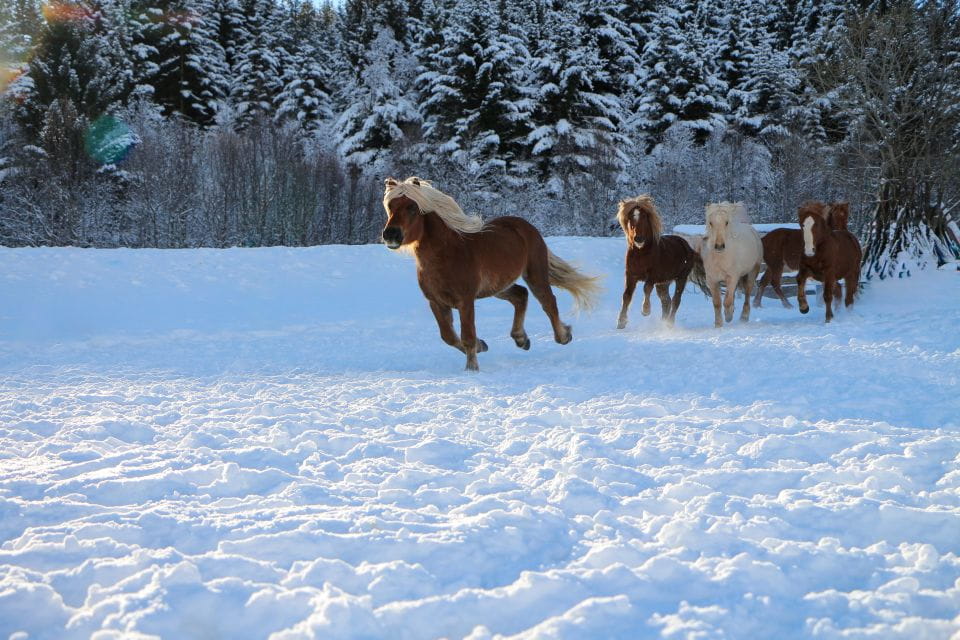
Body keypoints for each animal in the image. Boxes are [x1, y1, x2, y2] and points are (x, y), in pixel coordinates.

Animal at [381, 177, 600, 371]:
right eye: (390, 206)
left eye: (412, 207)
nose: (391, 234)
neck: (446, 254)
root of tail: (525, 226)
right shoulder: (436, 302)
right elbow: (448, 336)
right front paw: (482, 345)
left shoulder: (465, 300)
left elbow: (467, 335)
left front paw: (472, 368)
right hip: (498, 286)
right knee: (521, 295)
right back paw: (521, 339)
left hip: (535, 274)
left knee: (547, 301)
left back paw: (563, 336)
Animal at [615, 195, 698, 329]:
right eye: (630, 218)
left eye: (644, 217)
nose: (638, 238)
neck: (641, 253)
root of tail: (687, 246)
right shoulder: (630, 275)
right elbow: (626, 295)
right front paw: (621, 322)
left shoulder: (653, 276)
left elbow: (646, 288)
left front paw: (645, 310)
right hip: (663, 283)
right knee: (666, 301)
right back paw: (663, 322)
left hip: (681, 278)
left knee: (676, 300)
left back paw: (669, 323)